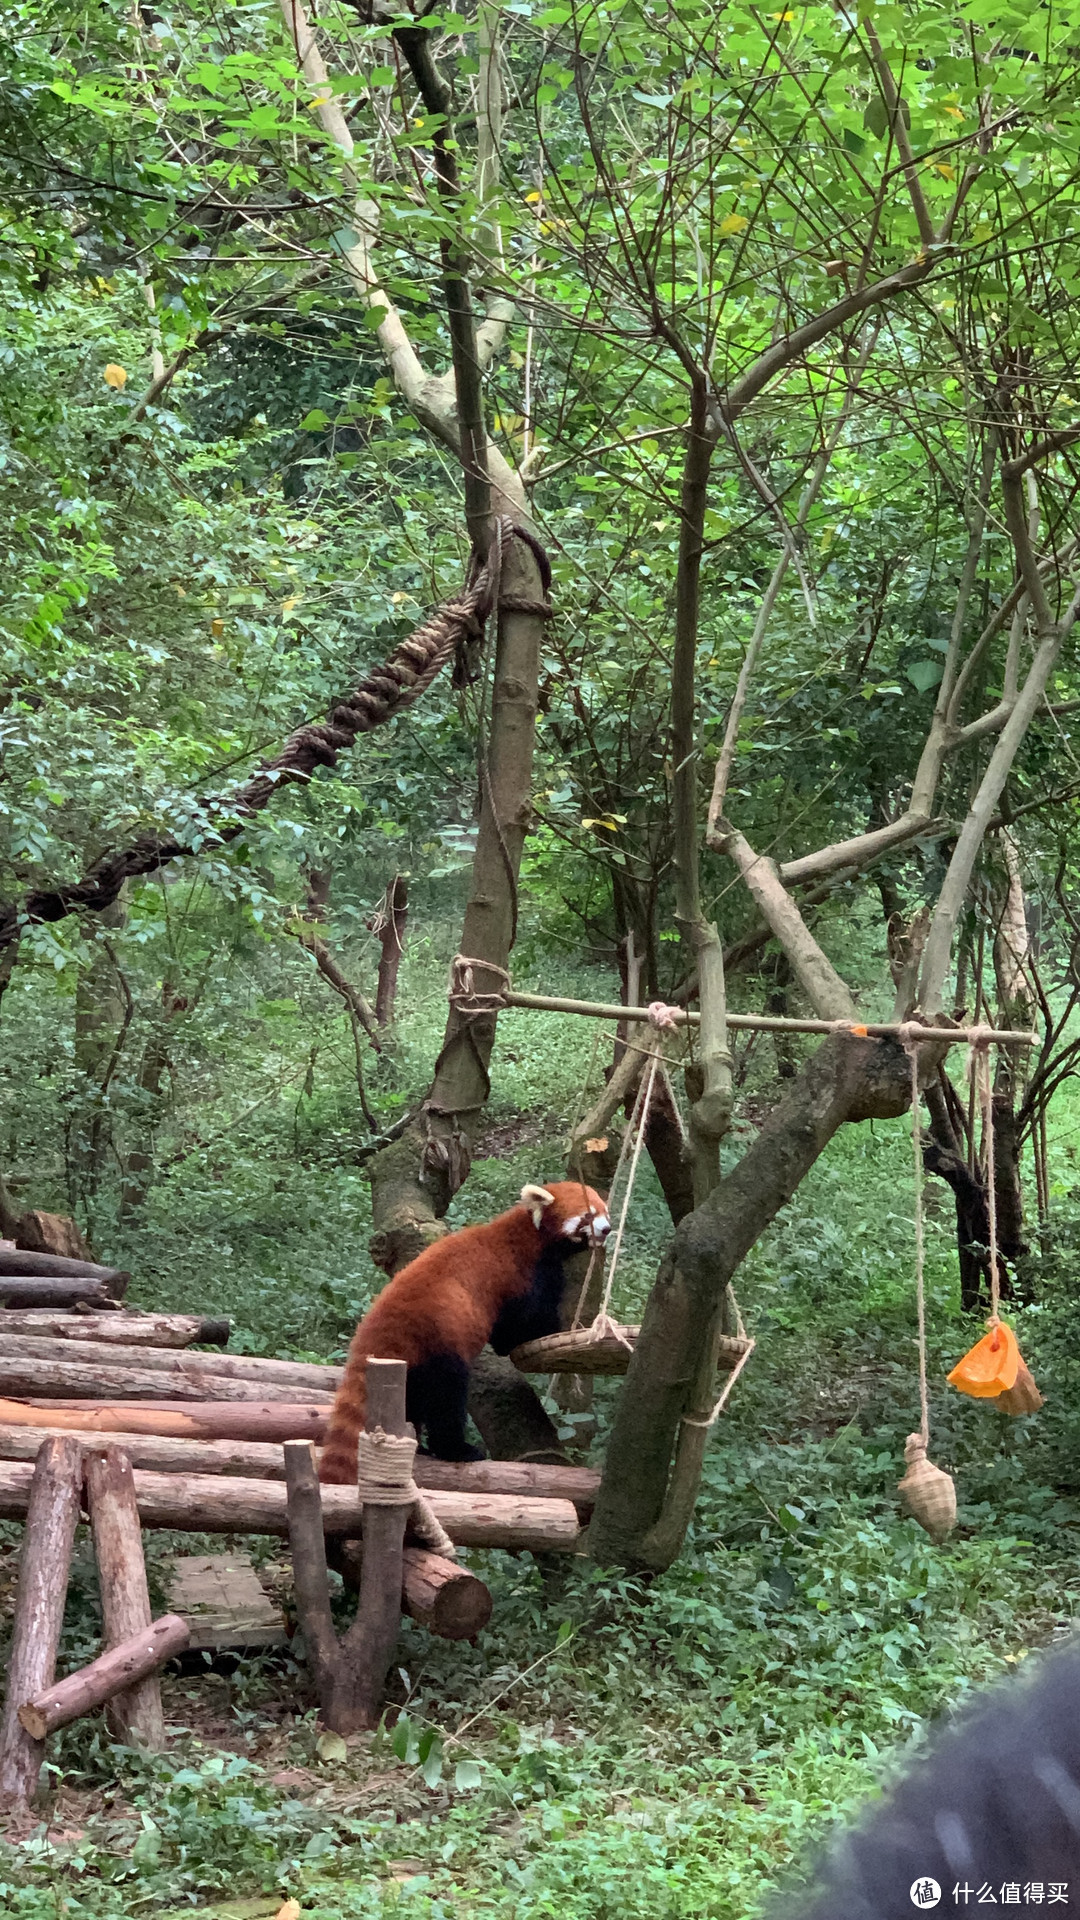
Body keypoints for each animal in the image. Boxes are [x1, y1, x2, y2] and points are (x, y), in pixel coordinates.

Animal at [315, 1182, 611, 1482]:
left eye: (605, 1212)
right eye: (588, 1215)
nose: (608, 1229)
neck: (529, 1233)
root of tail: (379, 1329)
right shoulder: (523, 1274)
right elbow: (520, 1328)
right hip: (439, 1341)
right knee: (446, 1397)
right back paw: (455, 1449)